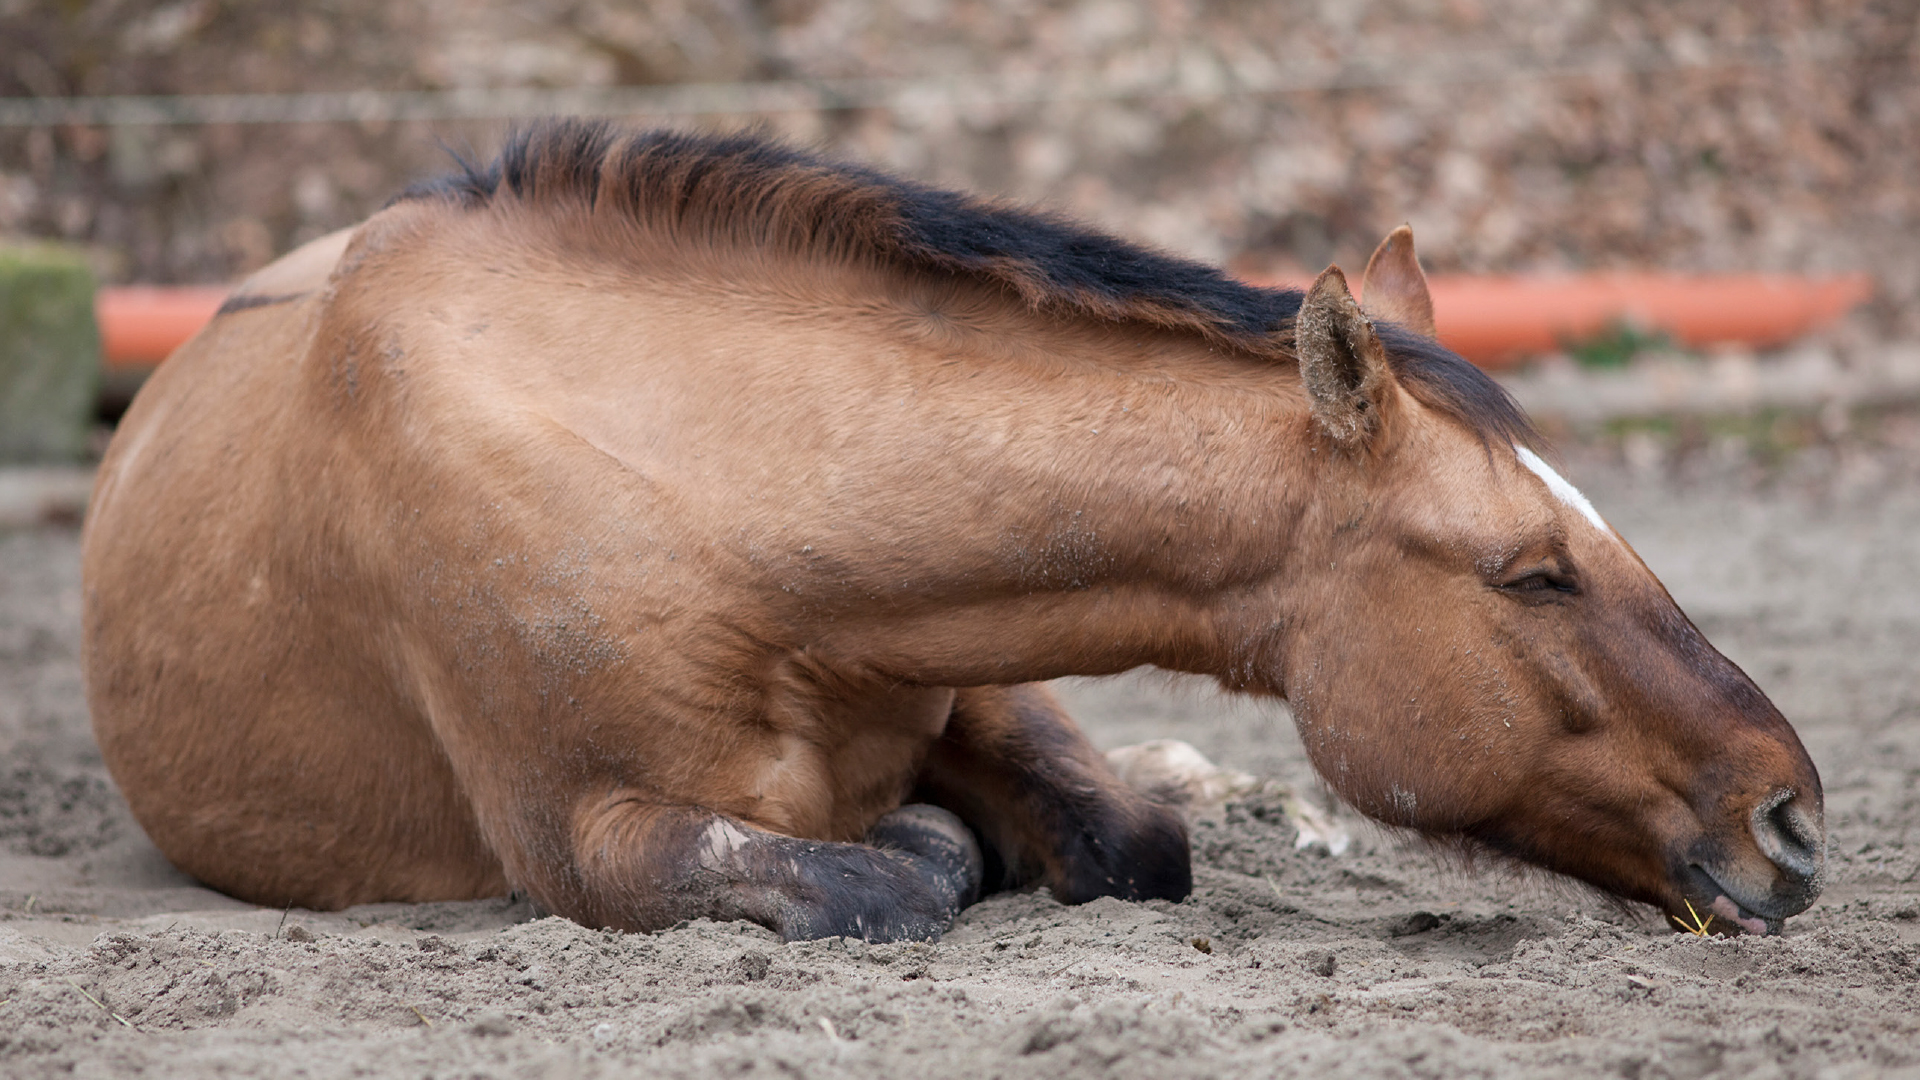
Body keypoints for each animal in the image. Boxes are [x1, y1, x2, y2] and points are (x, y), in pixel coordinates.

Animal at [82, 122, 1820, 937]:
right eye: (1532, 573)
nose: (1794, 820)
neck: (708, 492)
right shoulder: (587, 839)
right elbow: (892, 872)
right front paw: (934, 845)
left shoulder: (982, 664)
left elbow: (1134, 839)